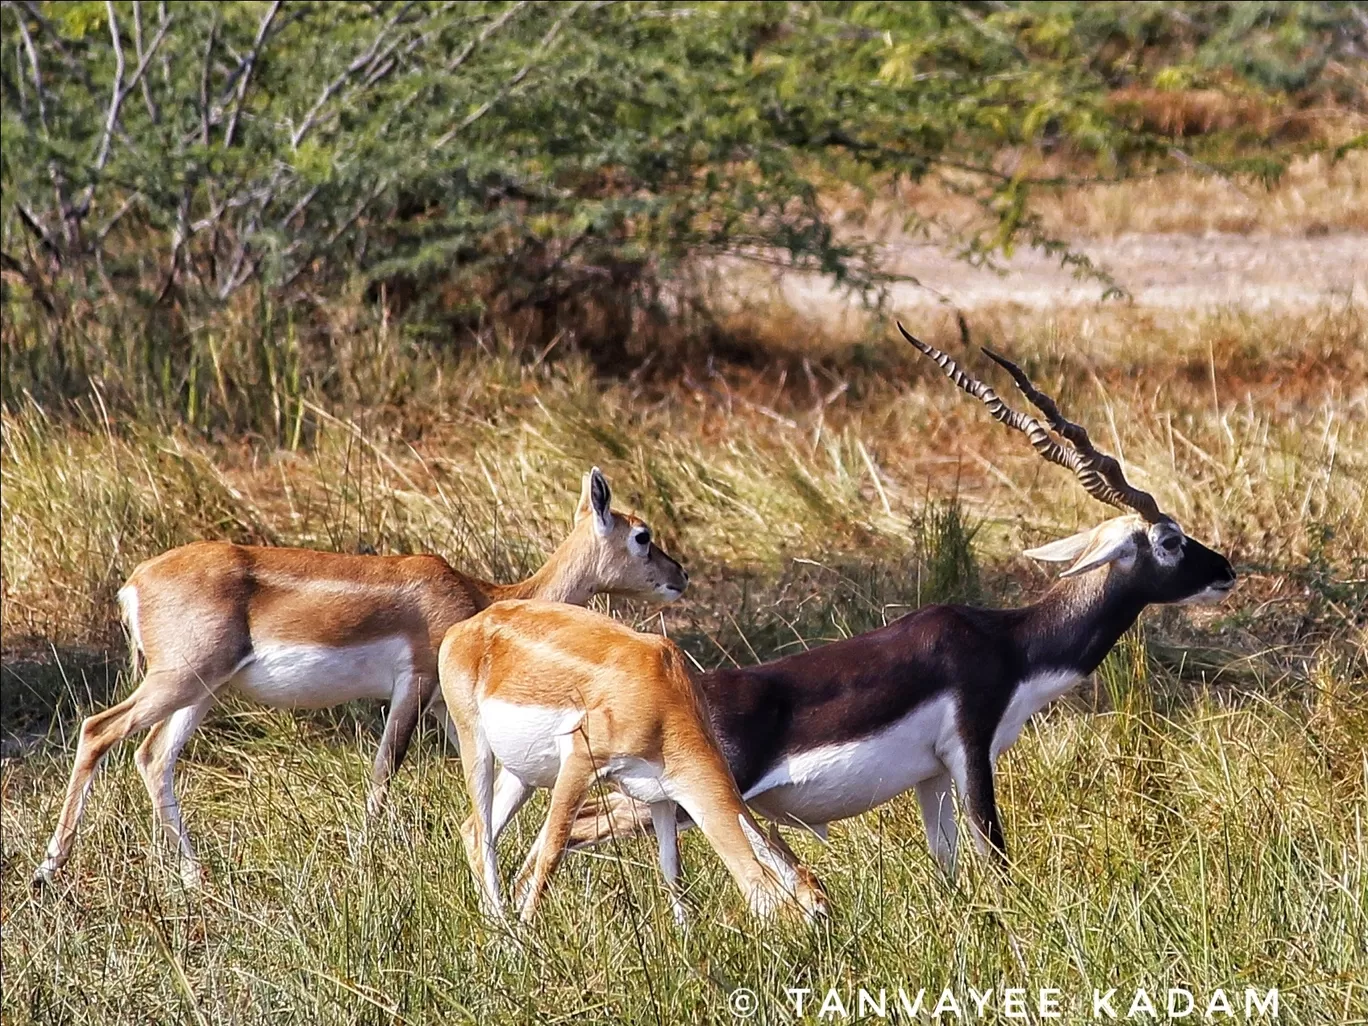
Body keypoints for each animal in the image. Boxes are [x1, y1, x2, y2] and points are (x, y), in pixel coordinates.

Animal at [33, 470, 689, 886]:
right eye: (642, 535)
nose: (679, 575)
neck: (478, 596)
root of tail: (134, 583)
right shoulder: (414, 685)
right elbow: (383, 771)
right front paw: (360, 864)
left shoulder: (446, 707)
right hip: (179, 681)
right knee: (98, 730)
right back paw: (48, 869)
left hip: (200, 691)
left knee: (152, 756)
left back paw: (196, 878)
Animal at [432, 599, 826, 930]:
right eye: (816, 913)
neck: (664, 691)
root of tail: (468, 626)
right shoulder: (580, 763)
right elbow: (552, 851)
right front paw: (529, 935)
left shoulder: (662, 795)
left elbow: (671, 869)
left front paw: (684, 937)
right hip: (475, 744)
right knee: (484, 832)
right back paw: (507, 931)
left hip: (521, 775)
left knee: (474, 830)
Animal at [528, 329, 1236, 875]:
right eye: (1170, 540)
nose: (1225, 570)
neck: (1012, 644)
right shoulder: (970, 752)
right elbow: (997, 862)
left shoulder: (930, 777)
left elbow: (950, 870)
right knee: (560, 834)